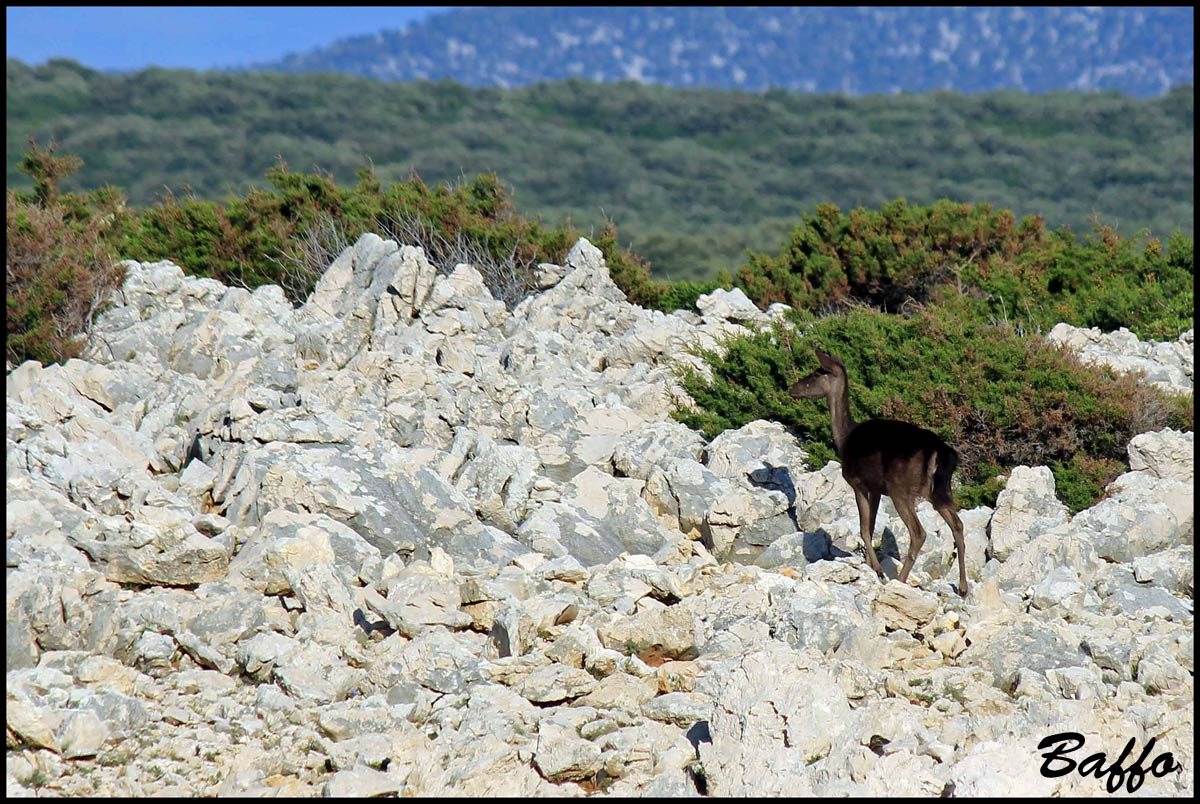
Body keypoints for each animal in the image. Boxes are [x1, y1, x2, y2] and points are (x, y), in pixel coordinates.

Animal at [792, 350, 969, 595]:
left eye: (817, 373)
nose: (792, 388)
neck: (844, 439)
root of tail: (940, 452)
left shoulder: (857, 482)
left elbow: (864, 528)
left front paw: (877, 570)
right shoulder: (875, 488)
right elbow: (872, 525)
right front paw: (870, 565)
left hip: (900, 488)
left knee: (919, 532)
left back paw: (900, 581)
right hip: (941, 490)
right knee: (958, 525)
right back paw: (963, 587)